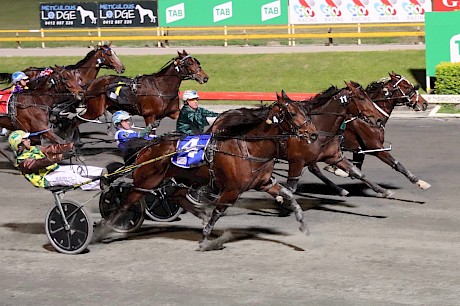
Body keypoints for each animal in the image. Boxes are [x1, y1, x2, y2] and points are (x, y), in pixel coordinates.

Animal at [99, 98, 318, 251]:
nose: (314, 134)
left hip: (183, 178)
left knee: (176, 195)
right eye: (292, 113)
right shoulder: (231, 190)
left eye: (303, 110)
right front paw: (206, 240)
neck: (248, 147)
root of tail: (146, 148)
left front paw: (303, 225)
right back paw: (103, 229)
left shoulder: (263, 183)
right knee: (126, 203)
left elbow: (289, 196)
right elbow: (218, 212)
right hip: (146, 182)